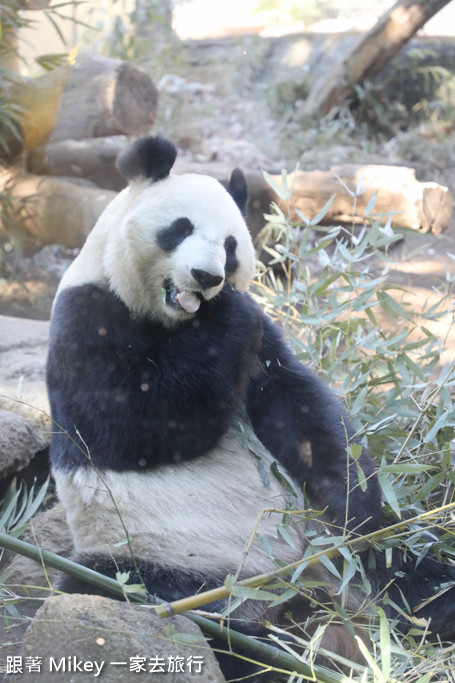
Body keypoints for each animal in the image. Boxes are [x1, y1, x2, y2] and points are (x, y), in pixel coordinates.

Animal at [46, 135, 455, 680]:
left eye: (231, 245)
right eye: (180, 228)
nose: (207, 277)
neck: (174, 320)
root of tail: (301, 590)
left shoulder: (264, 346)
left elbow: (298, 406)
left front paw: (353, 497)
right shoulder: (87, 314)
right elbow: (124, 423)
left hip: (344, 555)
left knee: (408, 568)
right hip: (161, 561)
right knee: (128, 596)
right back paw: (269, 649)